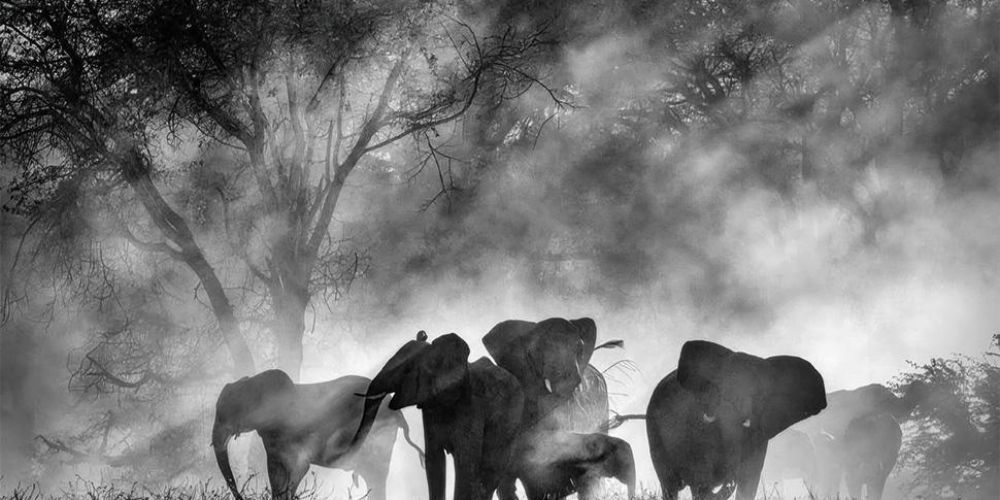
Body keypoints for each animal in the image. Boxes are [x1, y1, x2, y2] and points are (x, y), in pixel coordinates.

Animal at [350, 331, 525, 500]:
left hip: (511, 421)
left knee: (491, 468)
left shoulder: (471, 406)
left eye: (407, 370)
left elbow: (465, 463)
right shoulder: (430, 409)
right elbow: (434, 461)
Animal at [646, 340, 827, 500]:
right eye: (720, 391)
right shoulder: (695, 427)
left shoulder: (759, 435)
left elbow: (749, 480)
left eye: (759, 395)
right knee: (670, 486)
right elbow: (701, 480)